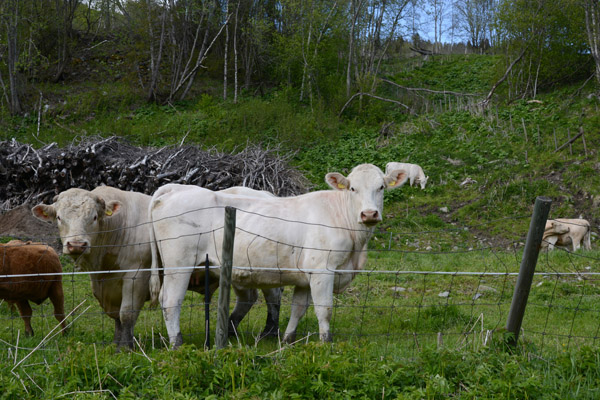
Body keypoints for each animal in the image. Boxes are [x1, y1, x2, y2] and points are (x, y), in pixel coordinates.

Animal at [149, 164, 408, 348]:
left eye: (381, 187)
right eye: (353, 188)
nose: (369, 214)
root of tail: (176, 188)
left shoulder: (306, 276)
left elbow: (298, 309)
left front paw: (287, 340)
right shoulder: (322, 271)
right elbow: (324, 309)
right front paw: (326, 343)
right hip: (178, 265)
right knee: (170, 300)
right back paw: (177, 343)